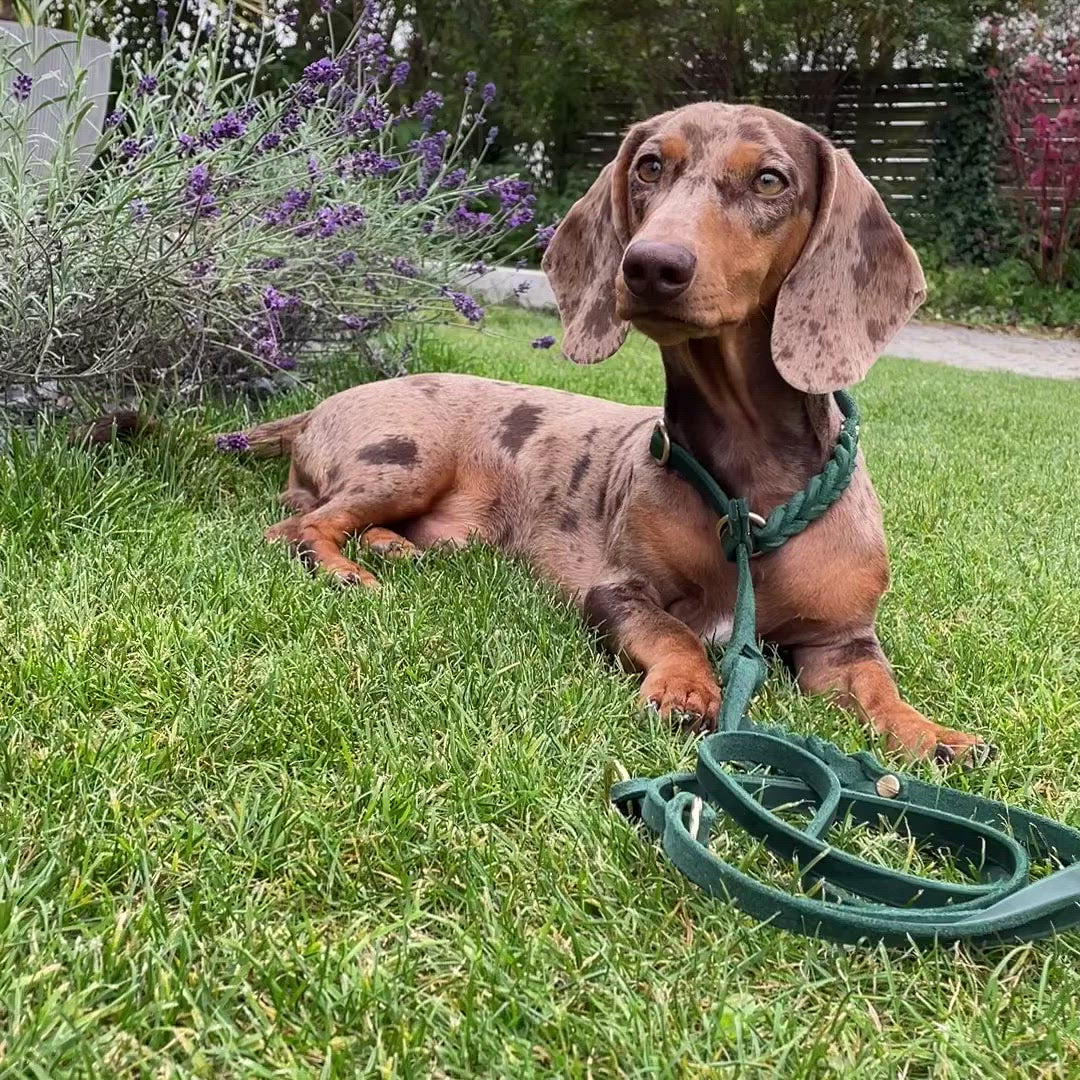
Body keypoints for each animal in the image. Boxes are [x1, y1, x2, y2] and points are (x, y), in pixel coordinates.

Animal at [227, 99, 989, 760]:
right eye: (650, 166)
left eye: (770, 179)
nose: (651, 264)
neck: (748, 501)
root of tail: (327, 402)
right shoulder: (617, 592)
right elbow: (675, 633)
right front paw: (685, 688)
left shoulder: (841, 642)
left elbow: (878, 686)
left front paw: (931, 734)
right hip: (410, 458)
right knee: (297, 525)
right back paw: (345, 568)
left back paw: (391, 548)